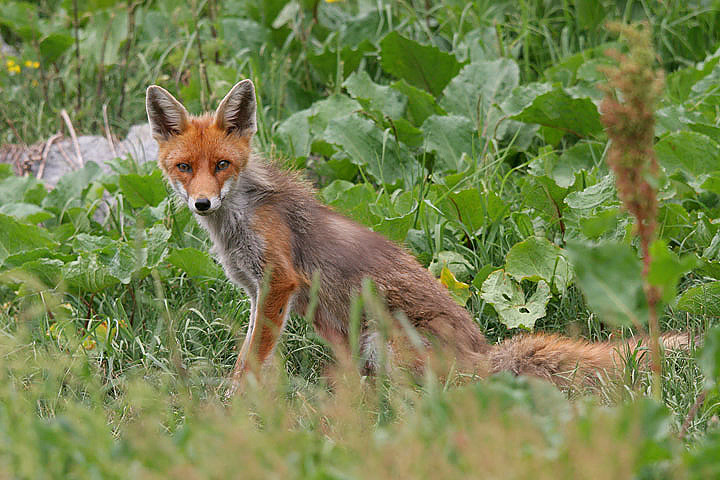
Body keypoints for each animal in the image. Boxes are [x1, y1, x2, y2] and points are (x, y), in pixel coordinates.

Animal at [143, 79, 688, 394]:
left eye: (222, 165)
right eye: (185, 168)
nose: (202, 203)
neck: (238, 220)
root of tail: (486, 355)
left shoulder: (279, 283)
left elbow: (251, 361)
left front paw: (234, 408)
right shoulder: (261, 294)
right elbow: (245, 352)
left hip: (384, 340)